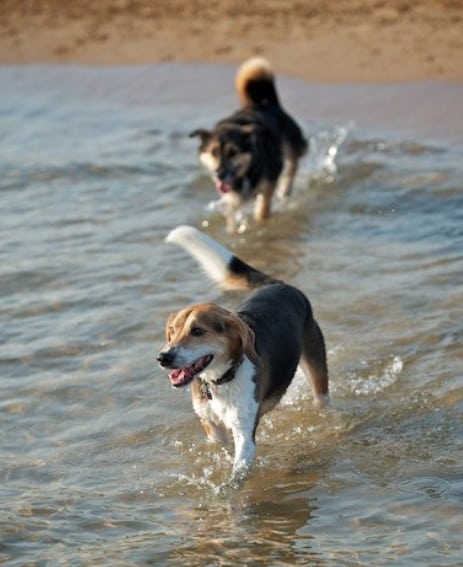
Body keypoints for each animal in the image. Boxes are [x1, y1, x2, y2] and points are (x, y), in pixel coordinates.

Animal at [158, 225, 328, 480]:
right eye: (172, 331)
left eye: (197, 331)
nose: (163, 358)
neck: (220, 381)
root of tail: (279, 285)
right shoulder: (212, 427)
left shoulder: (244, 434)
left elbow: (237, 475)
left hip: (317, 369)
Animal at [190, 58, 310, 232]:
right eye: (214, 152)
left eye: (233, 152)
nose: (219, 174)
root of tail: (263, 105)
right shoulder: (230, 197)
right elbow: (230, 213)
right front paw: (232, 230)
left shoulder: (269, 181)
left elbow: (263, 209)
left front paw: (260, 222)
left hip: (292, 142)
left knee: (295, 160)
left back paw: (285, 188)